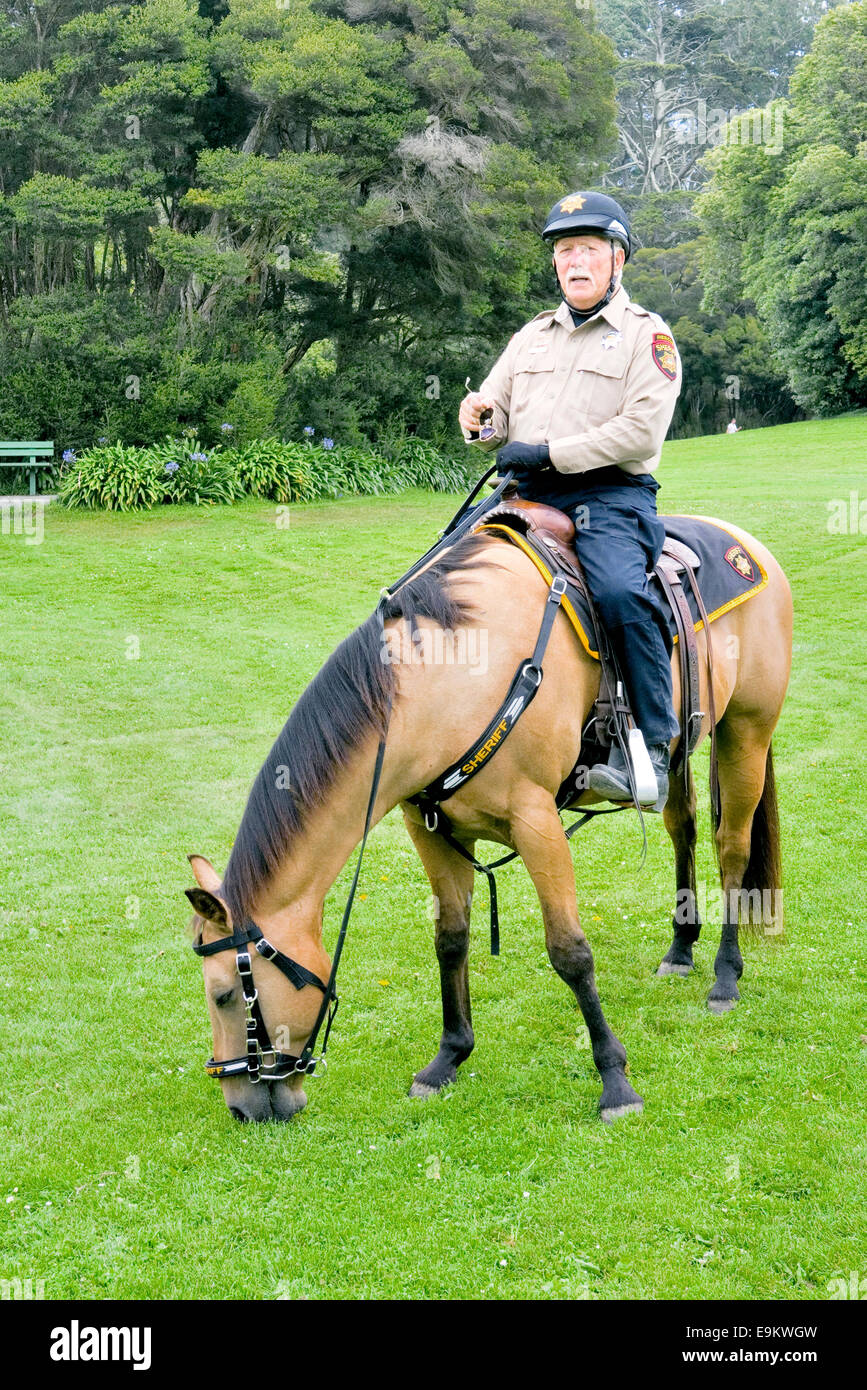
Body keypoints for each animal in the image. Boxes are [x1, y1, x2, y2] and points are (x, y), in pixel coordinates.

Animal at [184, 494, 794, 1123]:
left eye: (224, 994)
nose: (239, 1105)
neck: (444, 685)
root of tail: (745, 544)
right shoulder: (429, 828)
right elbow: (451, 939)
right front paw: (448, 1058)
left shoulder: (536, 822)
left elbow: (570, 952)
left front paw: (614, 1080)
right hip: (677, 751)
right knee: (683, 830)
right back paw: (680, 947)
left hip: (746, 730)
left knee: (732, 847)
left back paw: (725, 976)